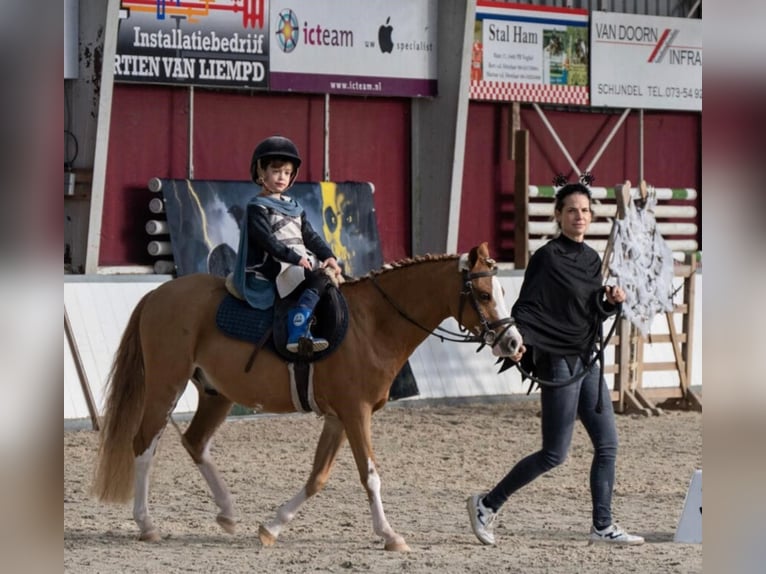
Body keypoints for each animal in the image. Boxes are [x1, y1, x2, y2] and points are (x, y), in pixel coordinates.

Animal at [90, 243, 520, 552]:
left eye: (502, 290)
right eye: (484, 294)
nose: (515, 343)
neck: (372, 324)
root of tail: (158, 293)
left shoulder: (338, 417)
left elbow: (318, 477)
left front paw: (271, 527)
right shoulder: (356, 413)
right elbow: (370, 475)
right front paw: (390, 535)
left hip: (216, 393)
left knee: (195, 442)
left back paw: (228, 514)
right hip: (167, 385)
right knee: (144, 444)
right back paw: (147, 524)